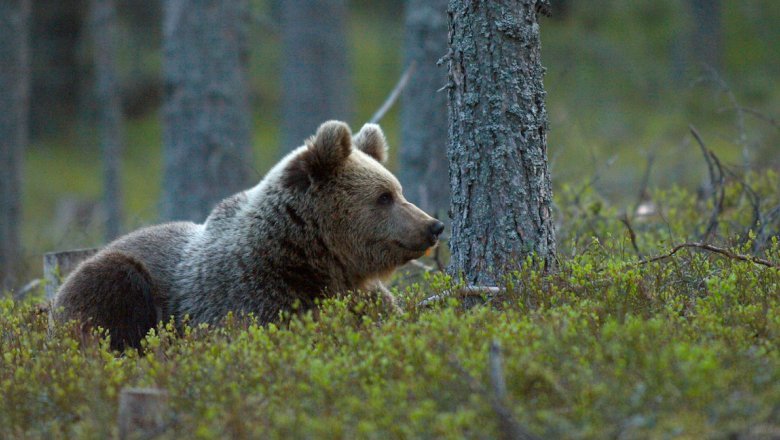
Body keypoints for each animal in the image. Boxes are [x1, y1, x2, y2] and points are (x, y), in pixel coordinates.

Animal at [53, 120, 444, 350]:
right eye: (384, 197)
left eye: (399, 190)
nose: (433, 226)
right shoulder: (251, 299)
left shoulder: (361, 297)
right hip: (114, 278)